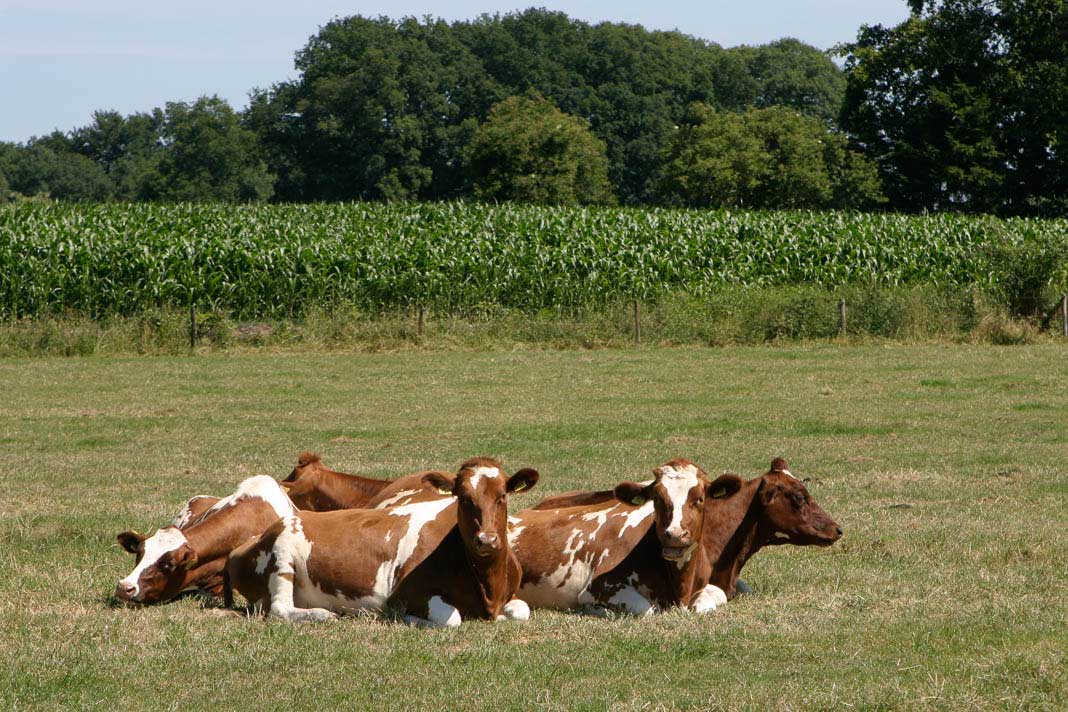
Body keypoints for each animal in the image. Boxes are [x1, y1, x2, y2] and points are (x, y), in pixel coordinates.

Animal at [226, 459, 542, 627]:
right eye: (463, 498)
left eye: (502, 496)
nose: (486, 540)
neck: (488, 584)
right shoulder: (409, 593)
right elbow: (451, 619)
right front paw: (409, 618)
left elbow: (522, 611)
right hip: (282, 553)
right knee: (280, 608)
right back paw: (323, 614)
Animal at [512, 459, 739, 614]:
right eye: (657, 498)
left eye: (700, 498)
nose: (674, 535)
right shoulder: (598, 587)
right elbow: (647, 609)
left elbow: (711, 601)